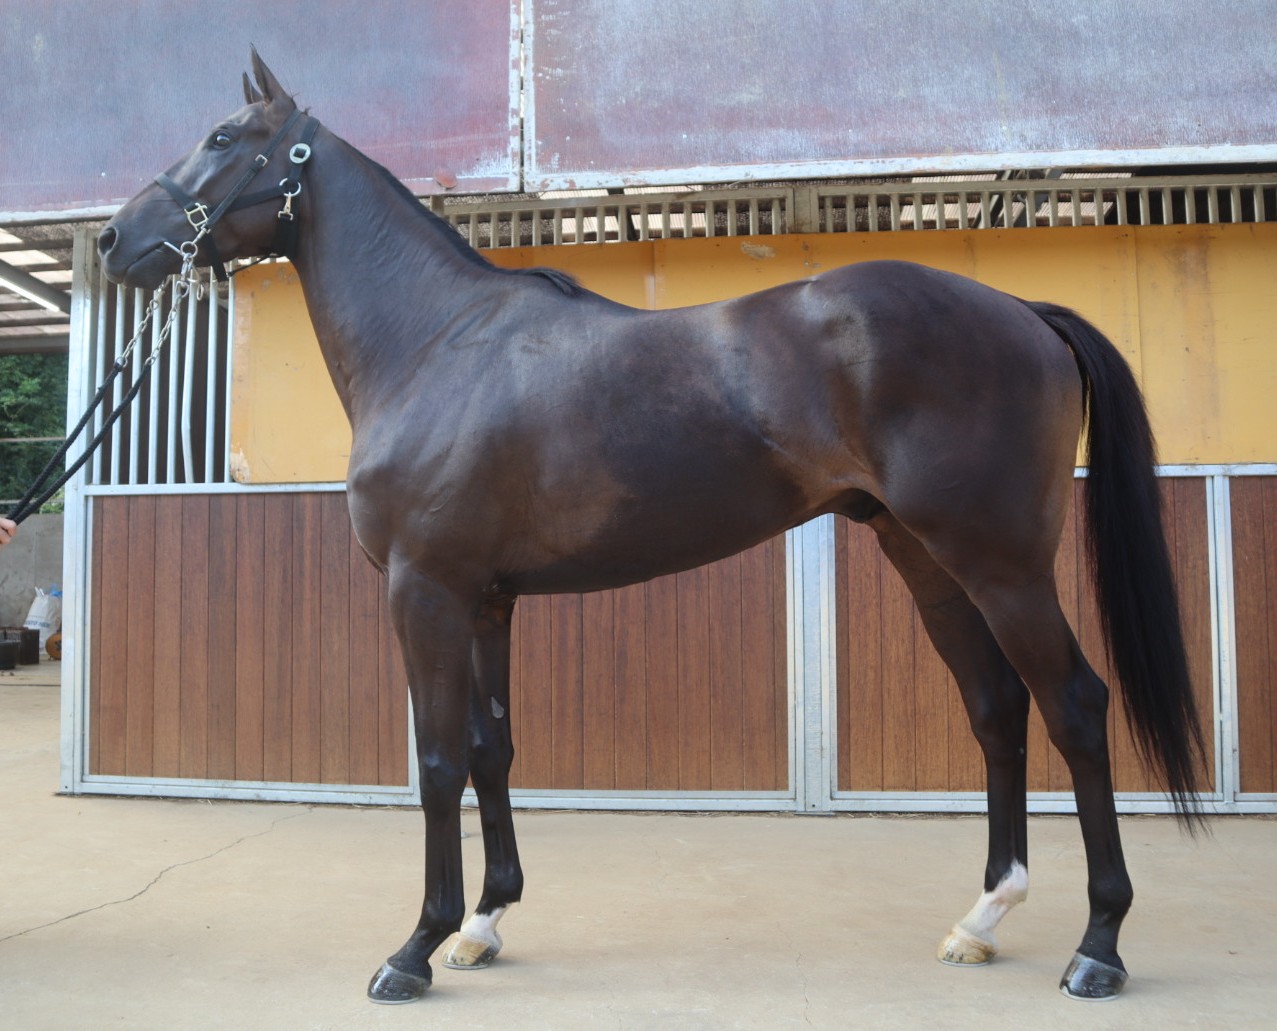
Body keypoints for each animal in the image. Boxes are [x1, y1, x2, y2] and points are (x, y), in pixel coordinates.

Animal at [98, 52, 1206, 1004]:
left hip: (1000, 562)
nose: (116, 242)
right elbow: (493, 747)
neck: (434, 343)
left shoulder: (425, 588)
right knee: (995, 708)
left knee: (1072, 705)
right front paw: (485, 923)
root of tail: (1021, 308)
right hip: (924, 558)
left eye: (223, 133)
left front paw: (414, 946)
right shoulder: (486, 599)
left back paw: (1097, 946)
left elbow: (440, 759)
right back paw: (981, 916)